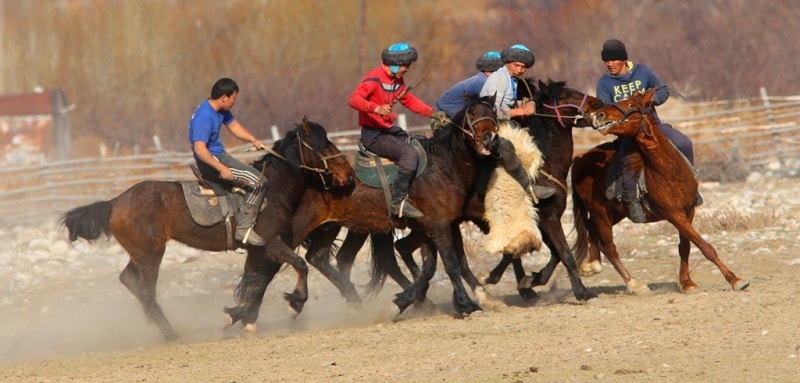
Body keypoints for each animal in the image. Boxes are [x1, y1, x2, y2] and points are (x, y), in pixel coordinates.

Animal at [59, 118, 354, 342]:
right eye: (324, 144)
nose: (349, 173)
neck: (273, 191)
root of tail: (115, 202)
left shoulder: (258, 251)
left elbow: (256, 282)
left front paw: (240, 315)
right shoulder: (271, 243)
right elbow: (298, 266)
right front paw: (295, 302)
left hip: (141, 253)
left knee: (129, 280)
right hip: (151, 255)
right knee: (146, 290)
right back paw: (170, 333)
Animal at [576, 89, 752, 294]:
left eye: (630, 104)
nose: (599, 115)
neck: (668, 171)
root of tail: (579, 159)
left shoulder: (688, 210)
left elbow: (685, 246)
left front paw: (687, 283)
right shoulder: (673, 214)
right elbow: (704, 246)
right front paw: (735, 280)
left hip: (614, 213)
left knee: (591, 228)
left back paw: (592, 265)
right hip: (600, 213)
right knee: (609, 247)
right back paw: (634, 284)